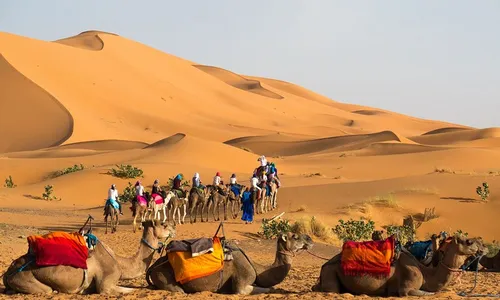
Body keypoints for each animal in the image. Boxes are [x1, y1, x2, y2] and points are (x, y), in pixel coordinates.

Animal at [2, 220, 176, 296]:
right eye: (163, 224)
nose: (174, 227)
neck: (120, 262)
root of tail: (7, 272)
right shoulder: (106, 284)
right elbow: (127, 290)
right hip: (25, 279)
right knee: (48, 290)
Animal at [146, 231, 314, 294]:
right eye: (295, 236)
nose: (310, 239)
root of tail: (152, 267)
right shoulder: (242, 280)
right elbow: (262, 289)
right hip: (163, 274)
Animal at [310, 234, 486, 296]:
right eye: (468, 241)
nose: (483, 246)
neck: (426, 274)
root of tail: (324, 266)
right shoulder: (407, 287)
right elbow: (428, 293)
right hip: (331, 272)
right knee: (332, 291)